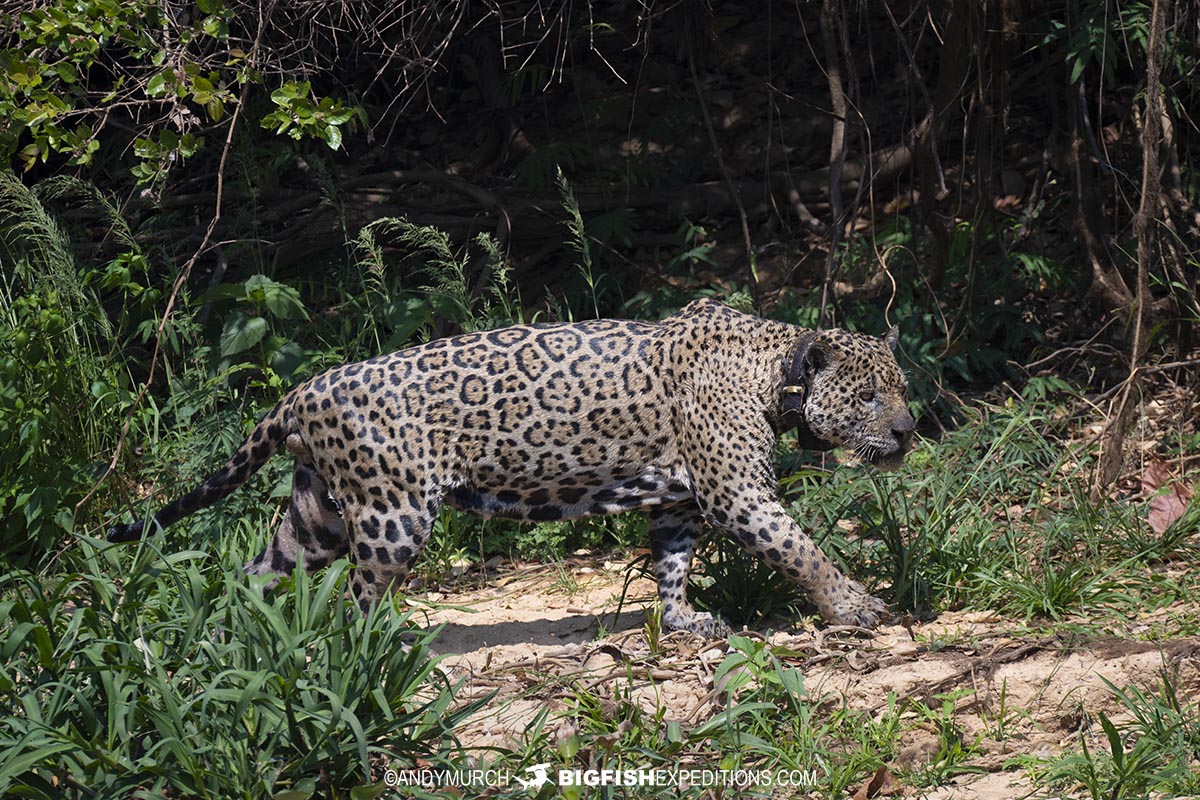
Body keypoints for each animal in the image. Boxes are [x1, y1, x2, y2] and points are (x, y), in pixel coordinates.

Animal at [109, 298, 915, 635]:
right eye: (869, 396)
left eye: (902, 386)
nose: (910, 431)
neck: (773, 373)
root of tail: (302, 391)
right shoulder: (739, 496)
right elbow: (800, 550)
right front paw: (855, 607)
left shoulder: (678, 501)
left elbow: (672, 562)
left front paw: (684, 619)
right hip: (391, 515)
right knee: (359, 599)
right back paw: (365, 651)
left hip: (317, 516)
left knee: (257, 571)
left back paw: (232, 635)